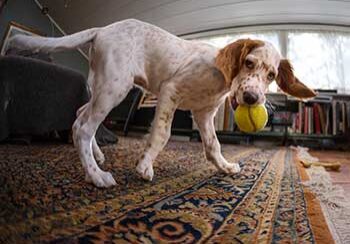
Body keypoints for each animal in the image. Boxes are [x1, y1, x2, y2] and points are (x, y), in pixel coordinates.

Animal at [12, 19, 316, 187]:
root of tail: (103, 29)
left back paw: (96, 158)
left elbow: (213, 145)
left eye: (272, 75)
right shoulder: (170, 91)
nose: (252, 98)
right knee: (82, 128)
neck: (220, 74)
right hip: (114, 87)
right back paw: (96, 176)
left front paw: (225, 166)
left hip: (102, 85)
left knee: (79, 115)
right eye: (249, 63)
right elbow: (162, 133)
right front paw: (145, 165)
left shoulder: (204, 114)